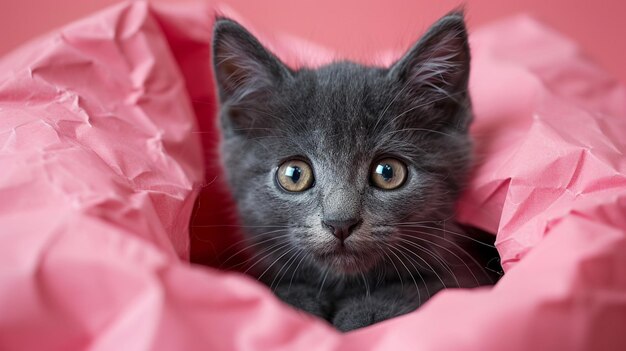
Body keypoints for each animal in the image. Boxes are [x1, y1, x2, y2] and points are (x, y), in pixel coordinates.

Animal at [212, 10, 500, 330]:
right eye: (294, 175)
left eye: (388, 172)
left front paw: (368, 311)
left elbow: (434, 286)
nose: (340, 223)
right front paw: (294, 303)